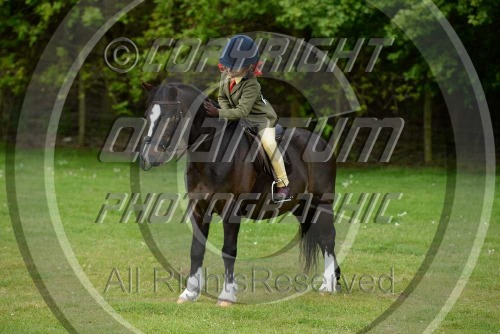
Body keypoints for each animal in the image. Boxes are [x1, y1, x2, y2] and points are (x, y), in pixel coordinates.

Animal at [138, 81, 340, 306]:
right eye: (147, 115)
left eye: (172, 117)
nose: (149, 157)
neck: (213, 153)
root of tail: (319, 141)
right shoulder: (198, 210)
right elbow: (196, 250)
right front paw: (189, 293)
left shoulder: (231, 211)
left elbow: (229, 250)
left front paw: (227, 296)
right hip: (301, 206)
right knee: (322, 238)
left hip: (322, 203)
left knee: (328, 238)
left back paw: (328, 286)